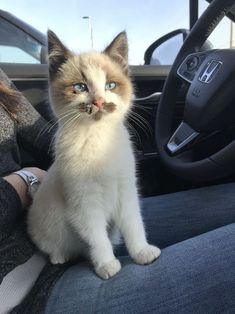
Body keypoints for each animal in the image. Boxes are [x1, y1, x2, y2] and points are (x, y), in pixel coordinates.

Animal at [27, 30, 160, 280]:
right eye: (80, 87)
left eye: (110, 85)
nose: (98, 101)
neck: (98, 138)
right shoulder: (83, 203)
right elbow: (98, 238)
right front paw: (106, 265)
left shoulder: (126, 191)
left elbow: (133, 224)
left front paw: (141, 252)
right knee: (51, 245)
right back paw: (59, 256)